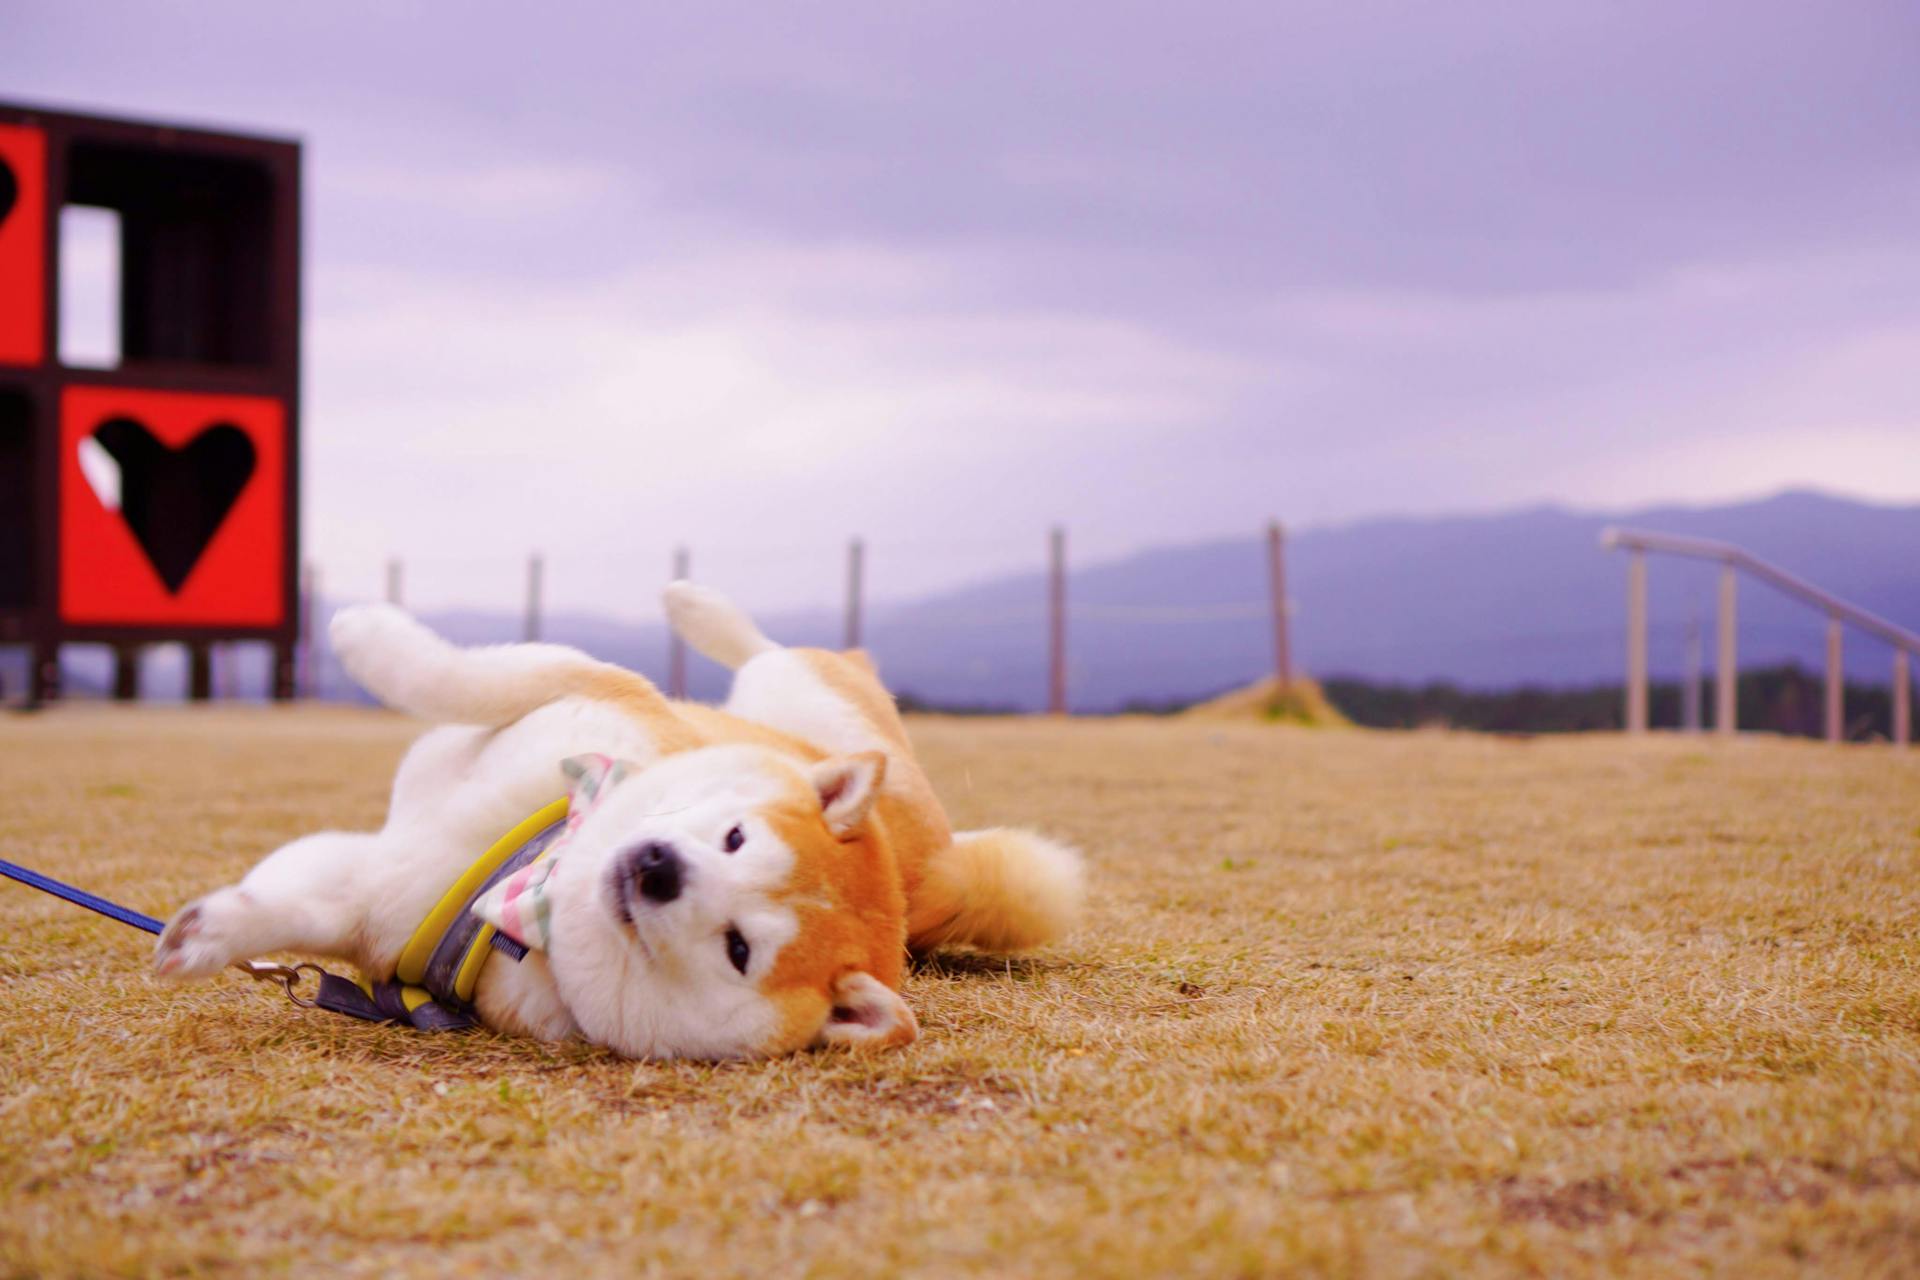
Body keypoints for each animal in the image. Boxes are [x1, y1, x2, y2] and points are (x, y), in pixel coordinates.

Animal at [149, 583, 1082, 1059]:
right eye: (736, 837)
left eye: (738, 949)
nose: (658, 867)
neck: (535, 879)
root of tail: (938, 863)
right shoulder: (593, 689)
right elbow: (465, 676)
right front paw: (364, 632)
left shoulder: (383, 904)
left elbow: (304, 901)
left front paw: (202, 937)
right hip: (801, 707)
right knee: (778, 652)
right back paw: (693, 602)